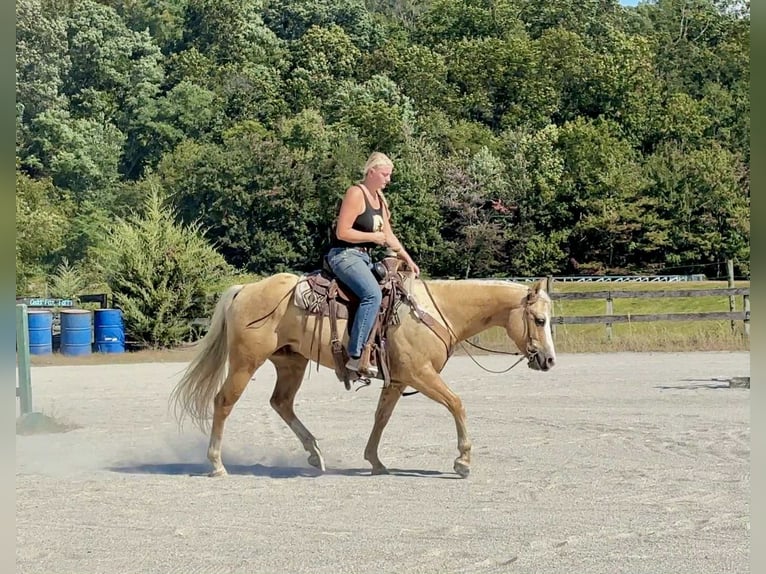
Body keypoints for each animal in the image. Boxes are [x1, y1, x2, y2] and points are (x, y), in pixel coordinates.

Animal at [170, 273, 557, 478]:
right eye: (540, 320)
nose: (550, 360)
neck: (435, 312)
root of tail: (244, 290)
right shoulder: (420, 374)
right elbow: (456, 404)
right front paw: (463, 461)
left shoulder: (399, 380)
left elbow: (381, 418)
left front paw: (375, 461)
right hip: (246, 362)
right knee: (224, 402)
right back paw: (216, 464)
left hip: (290, 362)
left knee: (281, 403)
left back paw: (315, 454)